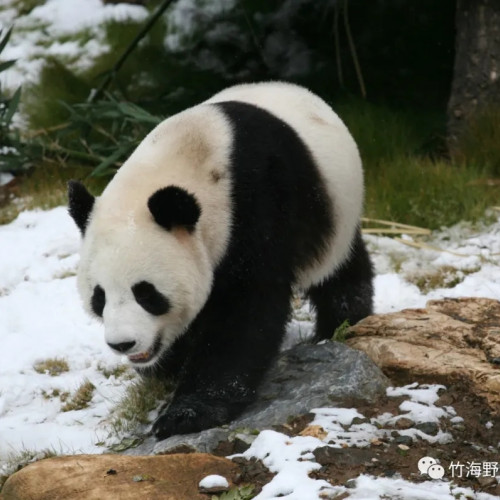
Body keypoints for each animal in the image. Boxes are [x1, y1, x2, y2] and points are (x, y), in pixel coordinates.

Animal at [69, 81, 376, 438]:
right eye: (99, 297)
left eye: (146, 293)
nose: (123, 344)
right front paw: (168, 367)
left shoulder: (257, 205)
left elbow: (244, 312)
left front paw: (188, 414)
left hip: (336, 212)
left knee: (339, 274)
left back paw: (340, 325)